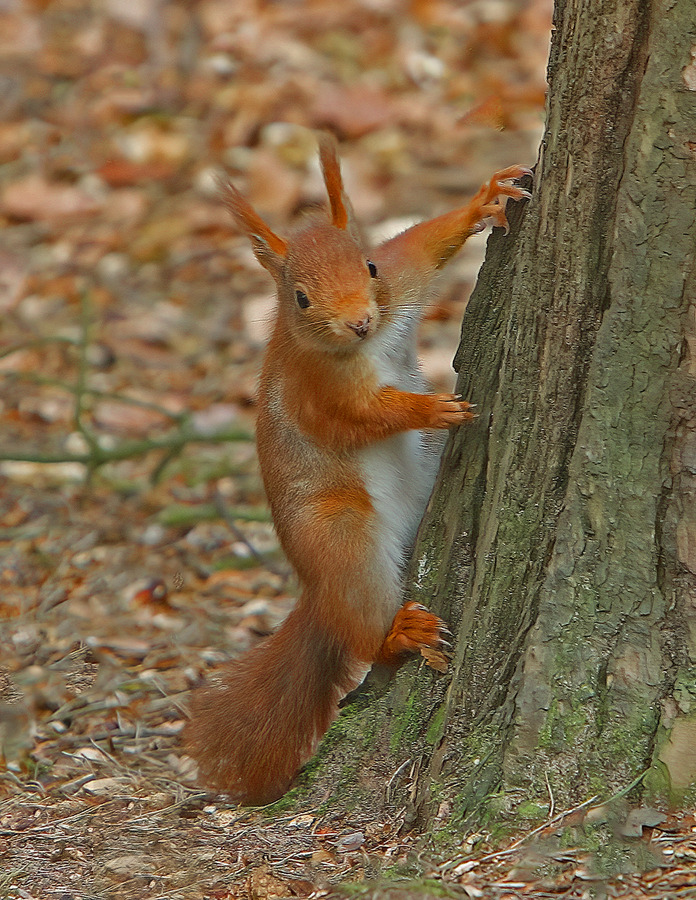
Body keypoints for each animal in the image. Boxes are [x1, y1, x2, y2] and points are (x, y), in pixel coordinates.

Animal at [186, 137, 532, 804]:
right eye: (300, 298)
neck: (359, 347)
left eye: (367, 267)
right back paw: (400, 635)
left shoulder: (399, 287)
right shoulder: (317, 392)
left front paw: (485, 199)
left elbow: (421, 247)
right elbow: (363, 417)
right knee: (367, 629)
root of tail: (316, 595)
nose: (360, 322)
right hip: (341, 535)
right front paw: (429, 408)